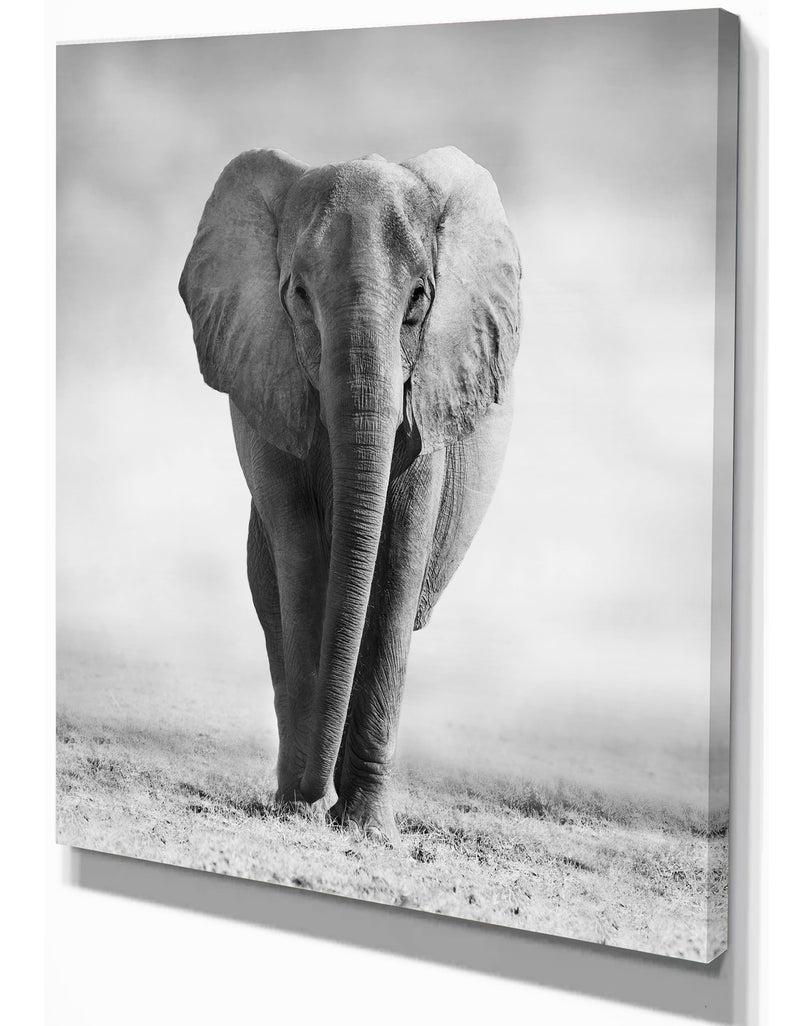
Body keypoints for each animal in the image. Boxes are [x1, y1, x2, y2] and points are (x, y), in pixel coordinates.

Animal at [179, 146, 521, 844]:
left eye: (419, 302)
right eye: (299, 296)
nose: (317, 794)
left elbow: (396, 568)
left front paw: (365, 829)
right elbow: (303, 560)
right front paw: (302, 808)